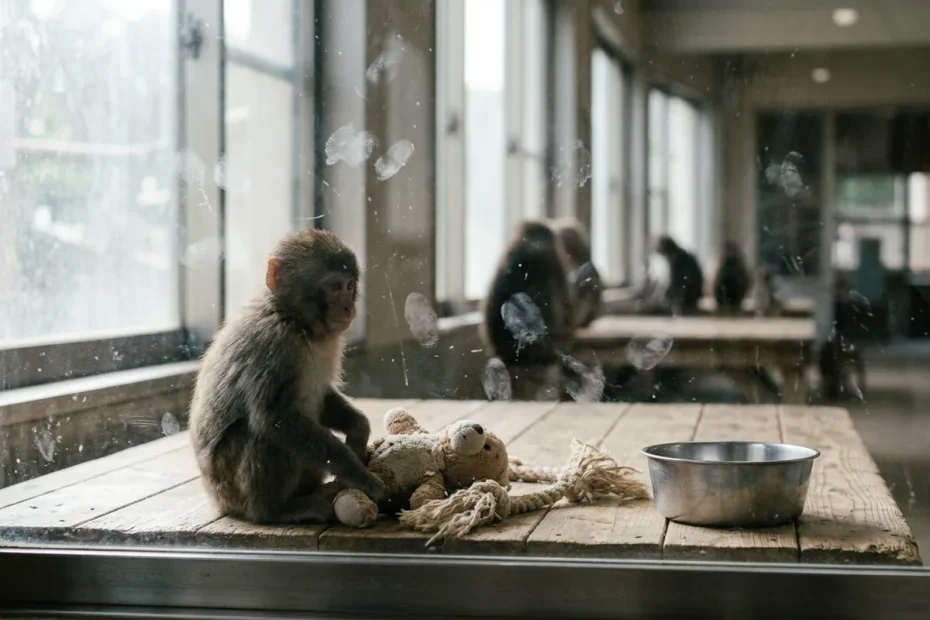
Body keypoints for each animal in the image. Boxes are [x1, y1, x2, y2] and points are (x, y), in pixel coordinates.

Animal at [189, 228, 385, 525]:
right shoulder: (273, 343)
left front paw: (358, 429)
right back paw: (274, 511)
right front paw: (357, 472)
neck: (295, 321)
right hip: (230, 487)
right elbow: (274, 418)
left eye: (350, 285)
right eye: (334, 286)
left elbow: (322, 397)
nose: (348, 309)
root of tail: (217, 500)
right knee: (264, 435)